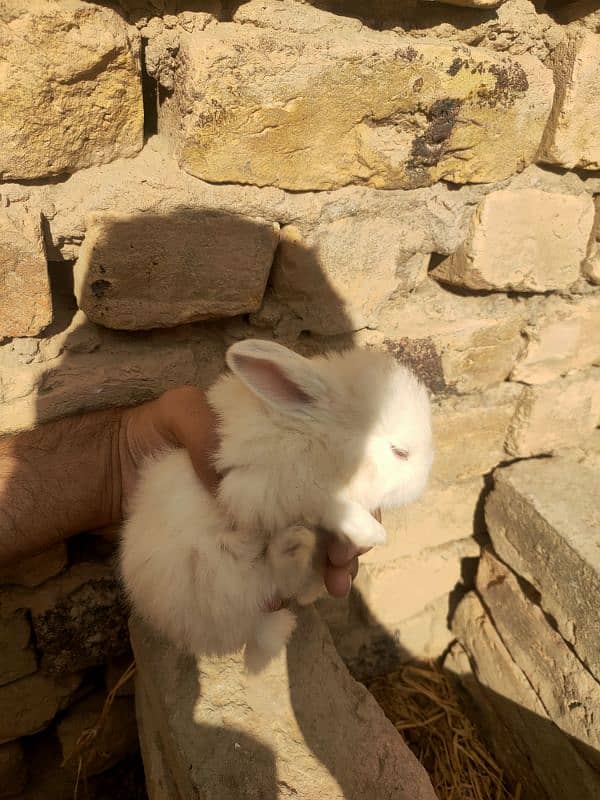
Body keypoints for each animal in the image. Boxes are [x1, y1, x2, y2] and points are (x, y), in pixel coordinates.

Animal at [119, 340, 434, 672]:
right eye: (400, 452)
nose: (423, 482)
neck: (320, 440)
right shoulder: (263, 489)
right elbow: (327, 503)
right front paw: (371, 532)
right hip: (215, 572)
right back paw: (292, 546)